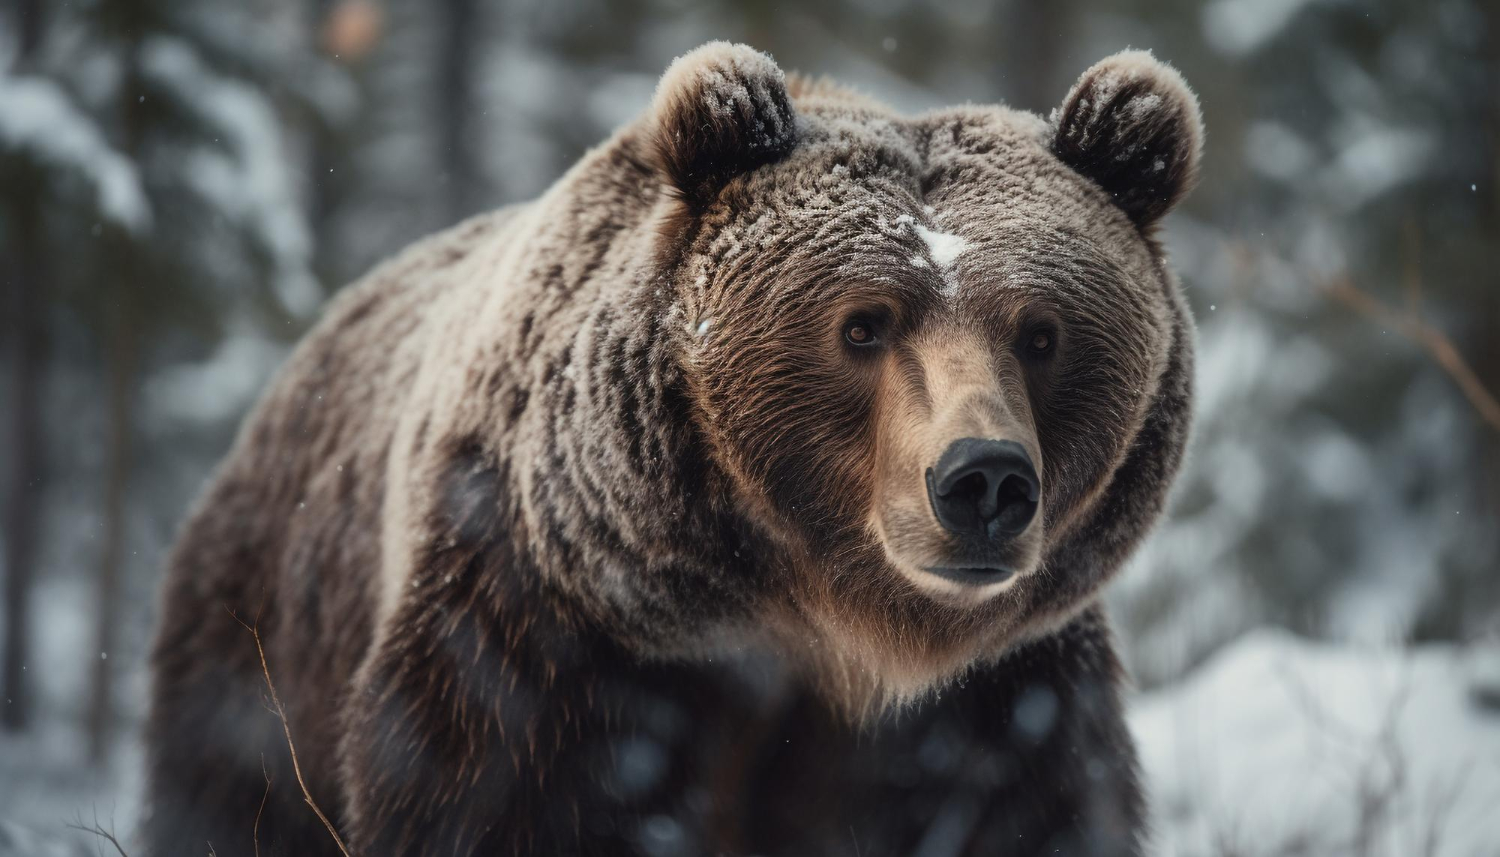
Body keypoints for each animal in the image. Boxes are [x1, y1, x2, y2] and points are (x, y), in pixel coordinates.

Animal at [146, 41, 1200, 857]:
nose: (981, 478)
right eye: (863, 325)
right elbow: (496, 800)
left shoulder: (999, 702)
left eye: (1041, 332)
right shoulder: (548, 641)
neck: (825, 632)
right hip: (265, 644)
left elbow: (1025, 810)